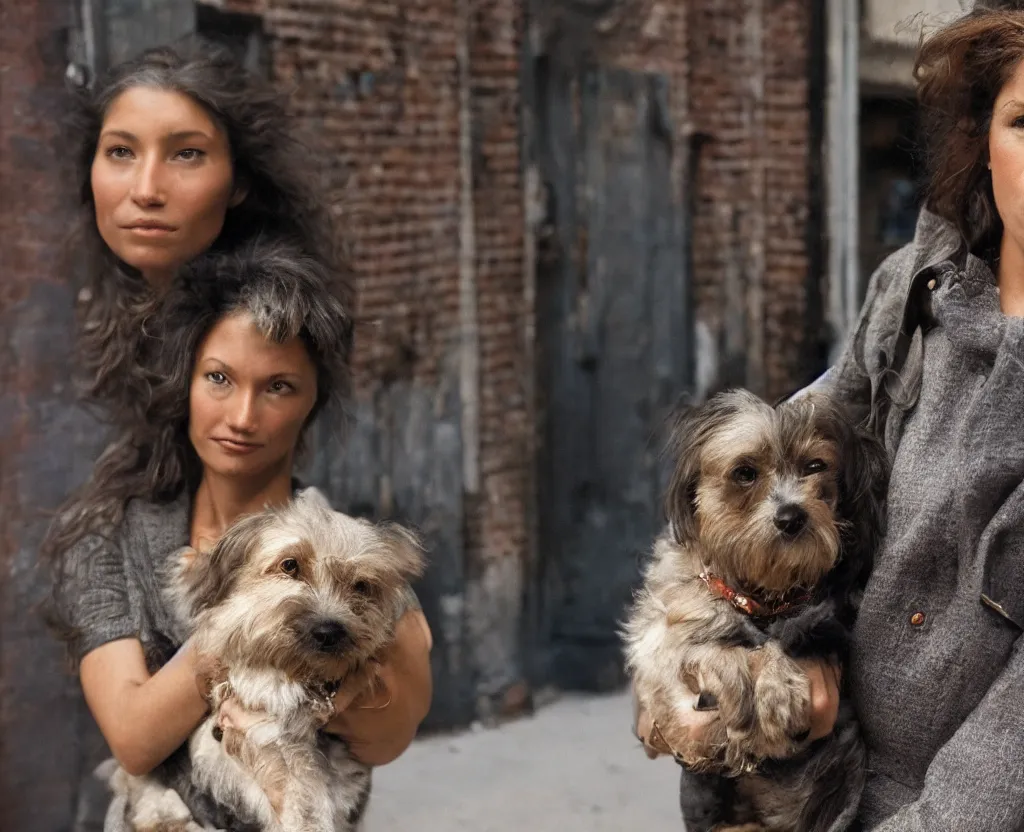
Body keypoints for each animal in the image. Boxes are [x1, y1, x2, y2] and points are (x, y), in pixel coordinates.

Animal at [622, 391, 888, 832]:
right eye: (745, 472)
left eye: (815, 466)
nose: (792, 517)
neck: (762, 597)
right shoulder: (660, 644)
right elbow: (701, 647)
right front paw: (755, 679)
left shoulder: (824, 626)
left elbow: (791, 640)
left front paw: (775, 686)